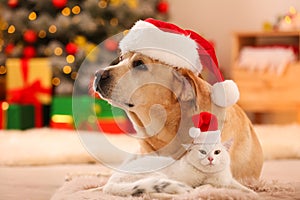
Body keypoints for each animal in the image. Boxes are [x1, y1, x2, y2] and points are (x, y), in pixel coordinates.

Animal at [103, 141, 255, 197]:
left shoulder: (228, 180)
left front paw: (253, 193)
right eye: (203, 152)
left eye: (217, 152)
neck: (210, 175)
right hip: (157, 177)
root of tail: (109, 184)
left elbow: (242, 187)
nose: (211, 159)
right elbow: (205, 186)